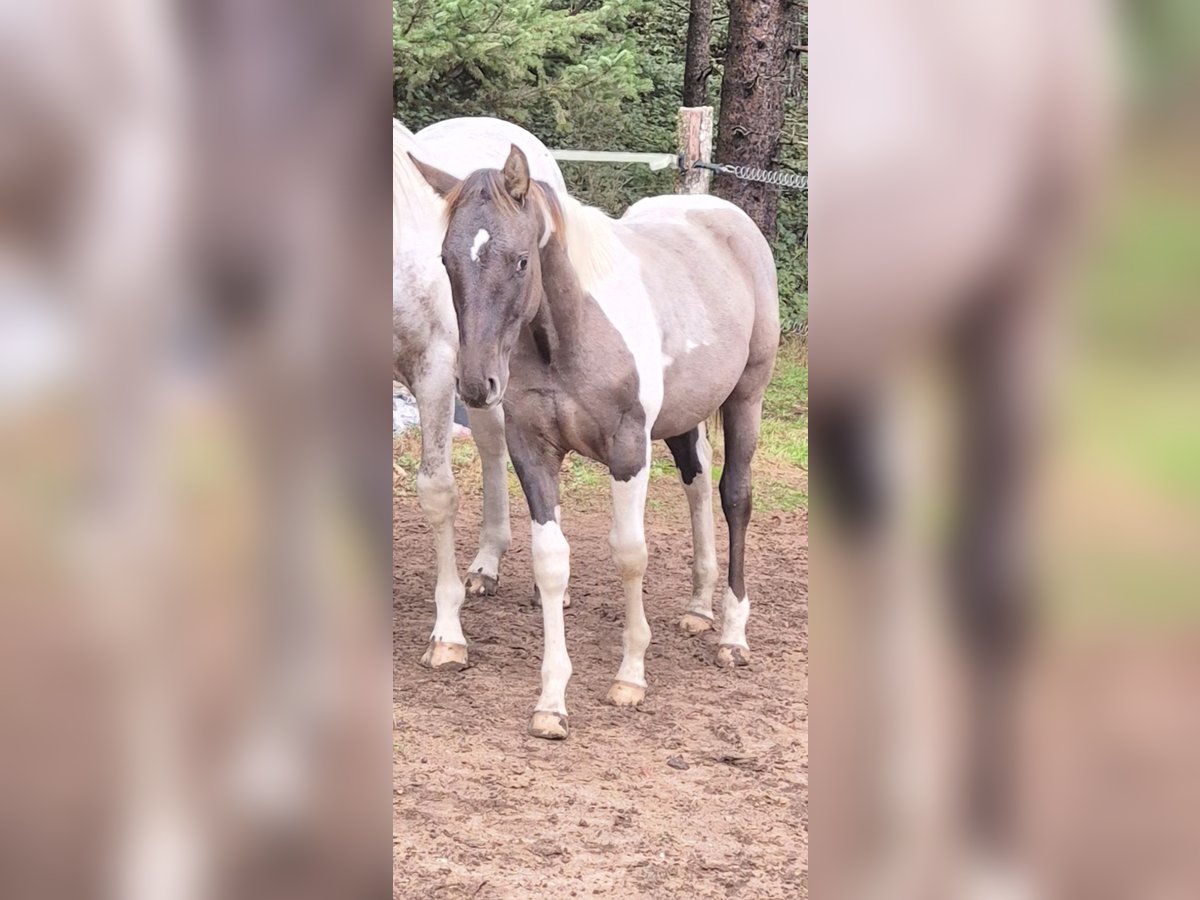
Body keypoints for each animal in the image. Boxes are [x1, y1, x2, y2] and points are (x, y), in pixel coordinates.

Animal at [410, 145, 780, 739]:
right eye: (446, 260)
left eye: (520, 260)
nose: (474, 384)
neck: (568, 335)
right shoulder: (532, 453)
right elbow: (550, 562)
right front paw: (551, 702)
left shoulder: (628, 450)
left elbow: (630, 554)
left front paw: (630, 675)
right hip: (682, 417)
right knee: (697, 482)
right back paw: (699, 608)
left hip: (747, 396)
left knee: (735, 497)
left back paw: (732, 634)